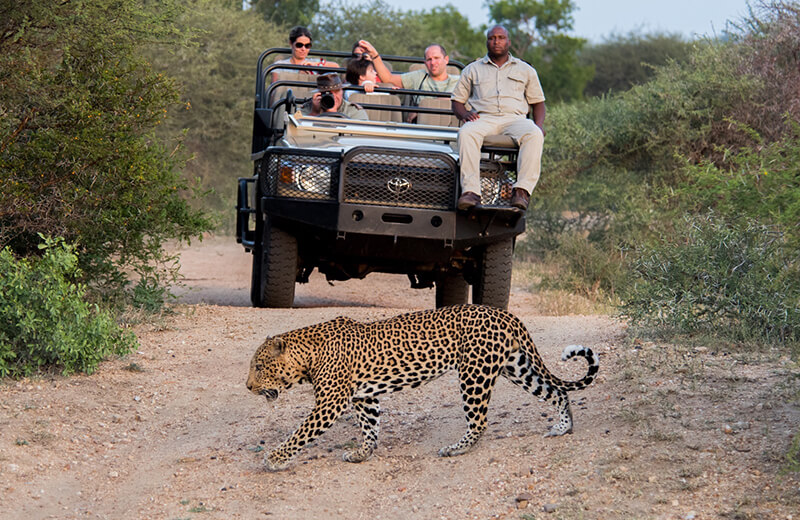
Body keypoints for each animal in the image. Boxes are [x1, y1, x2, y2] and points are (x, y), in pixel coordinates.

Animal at [246, 304, 599, 471]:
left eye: (259, 366)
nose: (247, 387)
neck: (308, 355)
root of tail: (505, 314)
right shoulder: (364, 397)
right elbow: (370, 428)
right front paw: (362, 453)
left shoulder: (329, 403)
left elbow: (301, 433)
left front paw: (274, 458)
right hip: (516, 366)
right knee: (557, 392)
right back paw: (562, 428)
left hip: (474, 373)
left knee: (480, 421)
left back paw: (455, 449)